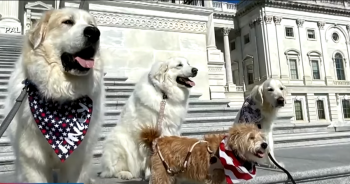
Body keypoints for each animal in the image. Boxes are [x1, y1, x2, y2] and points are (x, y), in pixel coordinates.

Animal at [139, 123, 268, 183]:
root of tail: (157, 141)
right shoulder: (215, 179)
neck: (230, 150)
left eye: (261, 137)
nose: (265, 144)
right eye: (251, 137)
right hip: (162, 174)